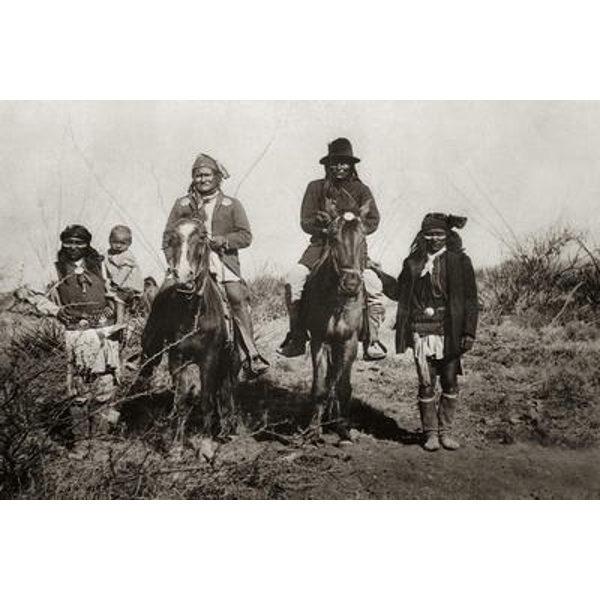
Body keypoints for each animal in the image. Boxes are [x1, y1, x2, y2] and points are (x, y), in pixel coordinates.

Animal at [139, 218, 238, 449]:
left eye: (201, 237)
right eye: (171, 239)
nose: (183, 276)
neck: (193, 312)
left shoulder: (209, 359)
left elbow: (206, 400)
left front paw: (206, 443)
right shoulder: (177, 359)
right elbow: (181, 401)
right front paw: (176, 444)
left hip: (227, 359)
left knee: (226, 388)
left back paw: (227, 428)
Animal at [303, 206, 370, 443]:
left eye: (363, 238)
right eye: (333, 238)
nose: (351, 284)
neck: (336, 302)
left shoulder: (349, 342)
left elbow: (343, 387)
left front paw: (344, 430)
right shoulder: (319, 341)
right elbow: (319, 387)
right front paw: (313, 431)